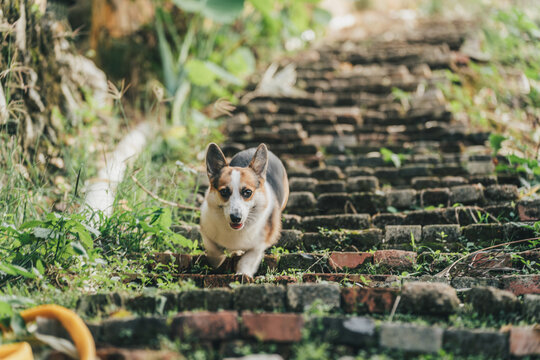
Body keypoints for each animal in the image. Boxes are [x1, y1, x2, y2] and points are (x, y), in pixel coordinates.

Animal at [200, 142, 288, 278]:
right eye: (224, 192)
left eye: (247, 192)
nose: (236, 218)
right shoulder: (206, 230)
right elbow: (213, 249)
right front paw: (217, 261)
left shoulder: (258, 245)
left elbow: (248, 259)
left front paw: (243, 273)